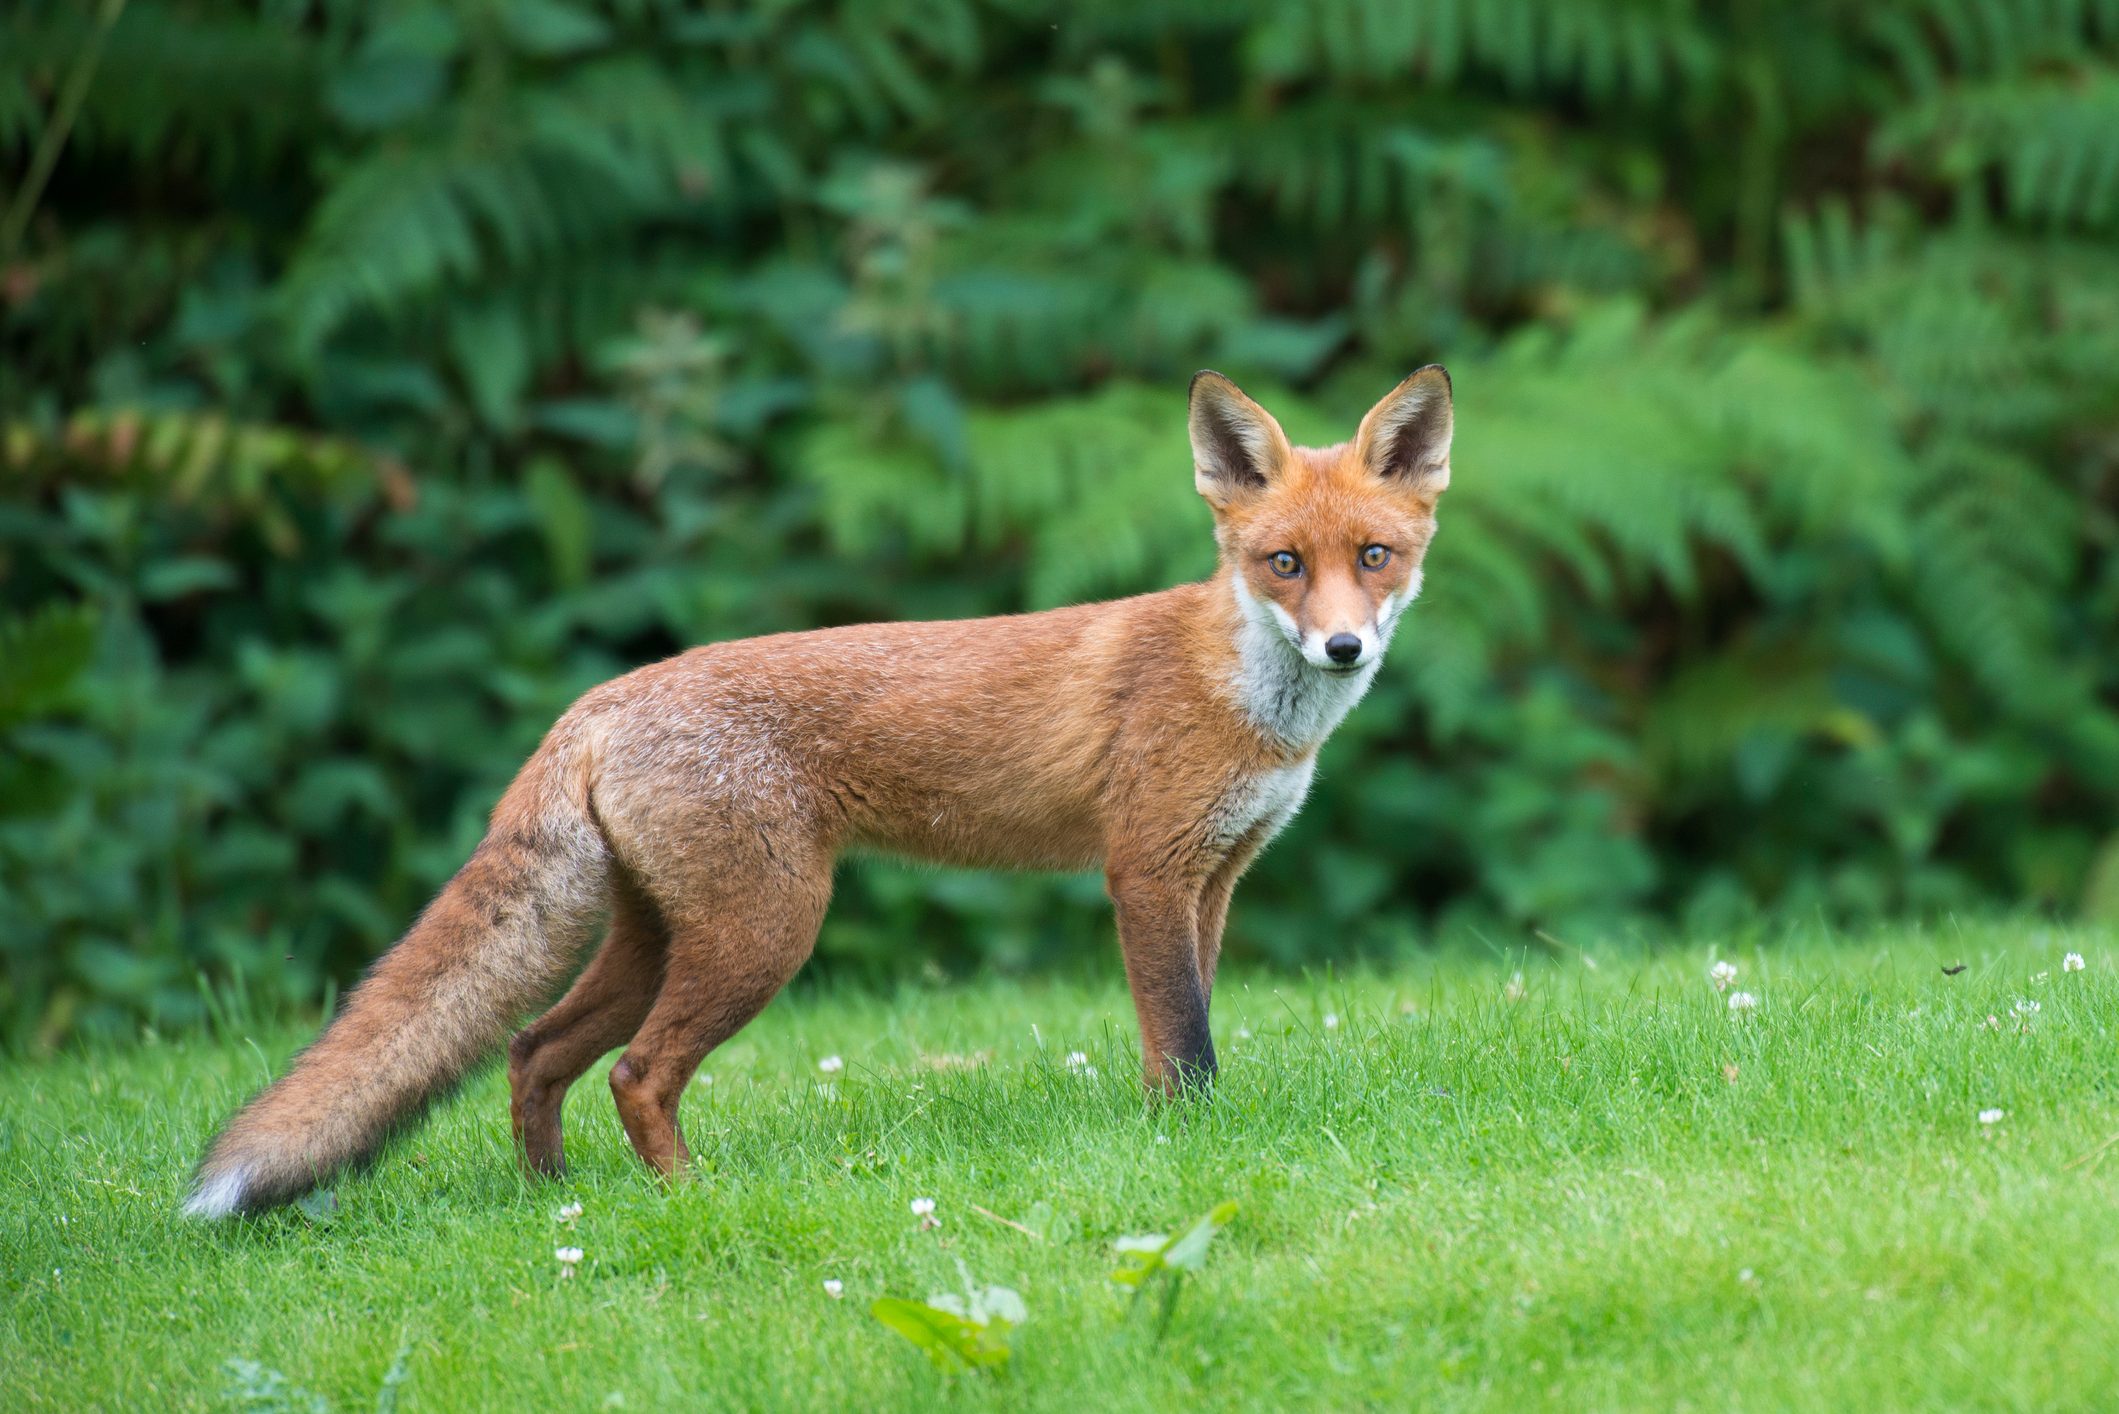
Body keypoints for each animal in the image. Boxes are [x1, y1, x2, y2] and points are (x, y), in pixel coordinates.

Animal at [182, 365, 1455, 1218]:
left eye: (1373, 558)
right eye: (1283, 565)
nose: (1343, 646)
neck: (1246, 698)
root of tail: (597, 702)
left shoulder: (1215, 879)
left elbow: (1190, 1026)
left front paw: (1188, 1137)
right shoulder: (1143, 872)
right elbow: (1180, 1039)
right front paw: (1179, 1150)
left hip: (660, 934)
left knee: (536, 1049)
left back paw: (560, 1201)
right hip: (767, 930)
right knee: (637, 1073)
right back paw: (689, 1200)